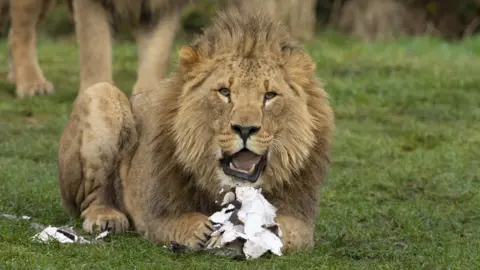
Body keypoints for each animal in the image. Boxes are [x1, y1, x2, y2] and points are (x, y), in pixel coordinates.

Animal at [4, 0, 191, 97]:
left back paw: (15, 78)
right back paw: (32, 84)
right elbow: (95, 52)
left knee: (15, 33)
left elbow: (157, 55)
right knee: (21, 35)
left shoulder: (164, 8)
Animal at [57, 8, 334, 253]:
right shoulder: (157, 211)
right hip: (101, 94)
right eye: (225, 92)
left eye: (269, 96)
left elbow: (291, 231)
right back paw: (106, 217)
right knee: (92, 196)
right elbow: (177, 222)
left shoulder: (300, 213)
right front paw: (202, 230)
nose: (245, 129)